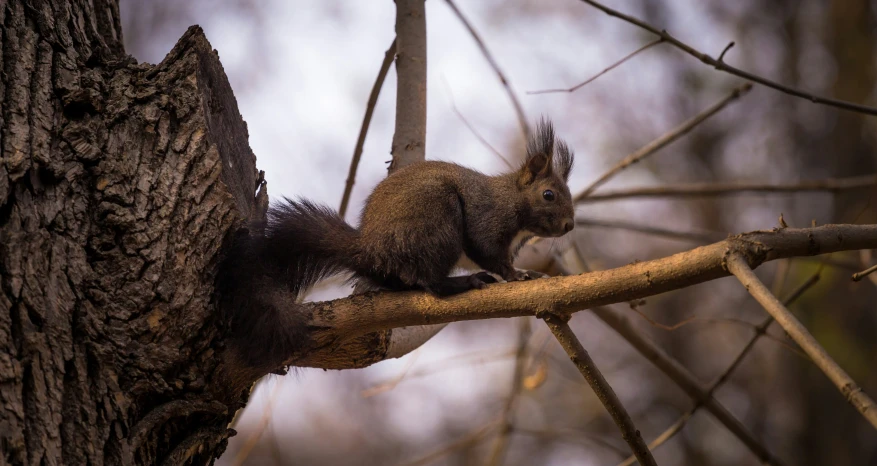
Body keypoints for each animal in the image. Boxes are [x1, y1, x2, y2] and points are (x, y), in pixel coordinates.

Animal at [217, 118, 576, 370]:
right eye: (548, 194)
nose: (569, 225)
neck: (512, 200)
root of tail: (371, 253)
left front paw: (530, 273)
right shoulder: (487, 219)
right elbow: (488, 252)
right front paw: (518, 275)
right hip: (435, 221)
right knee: (431, 283)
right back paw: (462, 282)